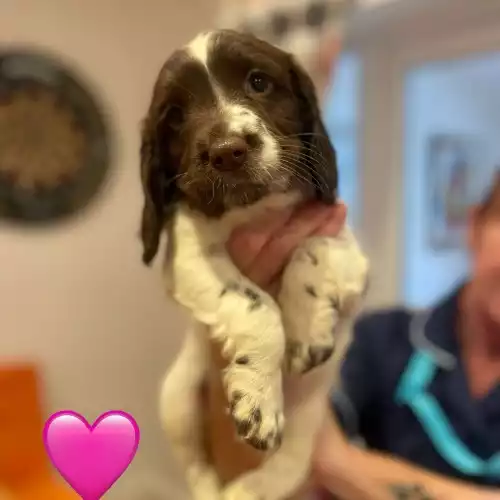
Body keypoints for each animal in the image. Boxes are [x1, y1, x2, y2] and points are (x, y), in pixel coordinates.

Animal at [139, 30, 370, 500]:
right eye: (175, 115)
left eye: (259, 82)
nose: (227, 151)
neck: (256, 210)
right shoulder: (189, 258)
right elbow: (256, 305)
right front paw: (259, 399)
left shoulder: (348, 249)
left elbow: (313, 249)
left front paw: (308, 330)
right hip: (177, 399)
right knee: (198, 468)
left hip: (308, 426)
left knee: (287, 469)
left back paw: (251, 488)